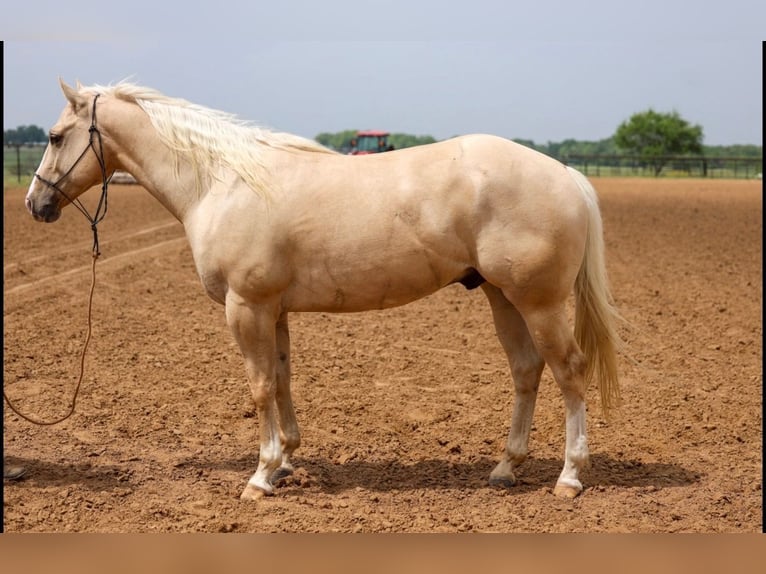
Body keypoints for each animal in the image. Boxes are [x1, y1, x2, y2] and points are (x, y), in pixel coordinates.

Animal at [26, 79, 622, 501]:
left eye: (54, 137)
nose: (36, 204)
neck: (223, 183)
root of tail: (566, 175)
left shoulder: (246, 307)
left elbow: (260, 387)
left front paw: (260, 476)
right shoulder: (273, 310)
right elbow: (282, 378)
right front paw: (287, 461)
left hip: (540, 302)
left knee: (569, 371)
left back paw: (570, 476)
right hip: (502, 296)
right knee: (526, 370)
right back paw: (505, 467)